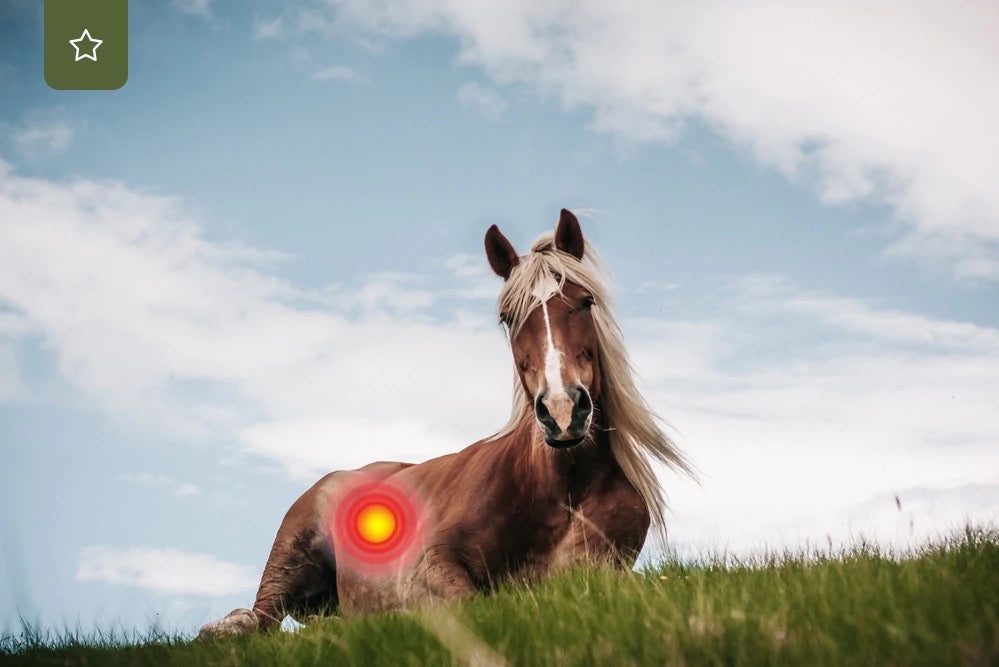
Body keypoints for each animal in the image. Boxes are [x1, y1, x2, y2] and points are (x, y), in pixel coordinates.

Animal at [199, 209, 690, 638]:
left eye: (585, 303)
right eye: (508, 318)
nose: (563, 410)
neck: (559, 487)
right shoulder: (432, 562)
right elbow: (464, 599)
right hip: (289, 558)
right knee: (261, 616)